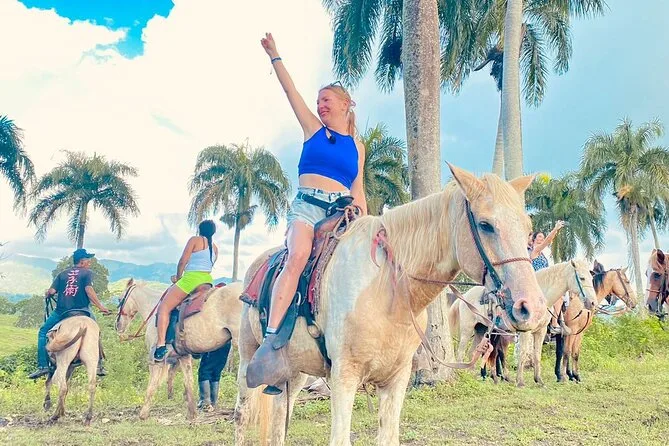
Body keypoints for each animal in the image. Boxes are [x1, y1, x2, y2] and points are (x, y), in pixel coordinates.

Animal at [114, 279, 243, 420]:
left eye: (120, 299)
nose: (117, 325)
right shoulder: (183, 356)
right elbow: (188, 382)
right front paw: (192, 414)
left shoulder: (155, 359)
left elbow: (152, 385)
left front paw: (143, 414)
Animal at [235, 164, 548, 446]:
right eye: (485, 225)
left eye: (527, 229)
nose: (530, 308)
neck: (388, 292)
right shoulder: (344, 376)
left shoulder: (396, 379)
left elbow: (389, 437)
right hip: (248, 359)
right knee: (241, 414)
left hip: (296, 372)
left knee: (279, 423)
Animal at [448, 259, 598, 387]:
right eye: (582, 278)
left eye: (591, 278)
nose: (592, 303)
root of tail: (464, 296)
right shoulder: (526, 331)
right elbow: (523, 353)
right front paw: (520, 381)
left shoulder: (541, 331)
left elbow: (536, 355)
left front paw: (539, 380)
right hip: (467, 330)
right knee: (461, 352)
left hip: (482, 330)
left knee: (472, 352)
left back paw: (474, 376)